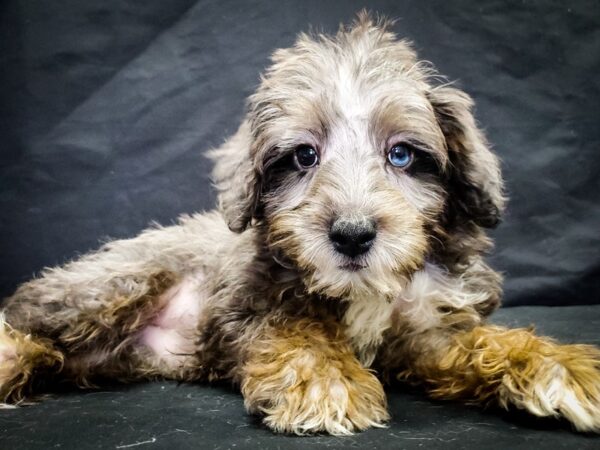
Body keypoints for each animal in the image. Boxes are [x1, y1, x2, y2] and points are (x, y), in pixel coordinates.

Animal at [1, 12, 600, 434]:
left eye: (402, 155)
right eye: (303, 156)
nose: (353, 235)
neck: (361, 294)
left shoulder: (431, 334)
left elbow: (488, 342)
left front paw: (561, 367)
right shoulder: (245, 305)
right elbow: (297, 329)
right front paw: (326, 379)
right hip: (112, 286)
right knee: (26, 325)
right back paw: (11, 357)